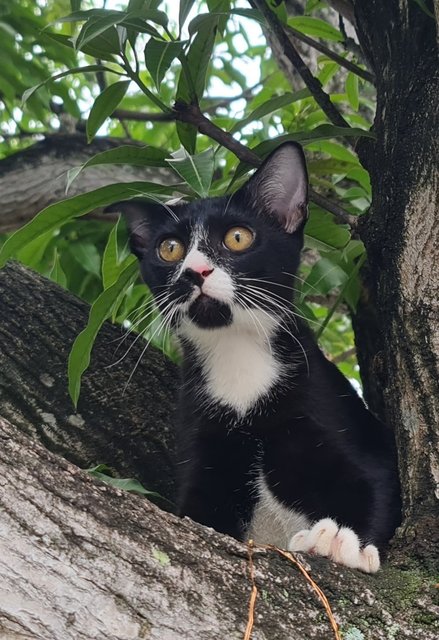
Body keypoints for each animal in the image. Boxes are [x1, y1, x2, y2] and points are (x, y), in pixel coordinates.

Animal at [110, 144, 402, 576]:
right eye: (169, 248)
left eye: (237, 237)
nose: (195, 271)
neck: (238, 358)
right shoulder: (204, 441)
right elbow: (197, 514)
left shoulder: (341, 421)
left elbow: (379, 484)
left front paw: (342, 541)